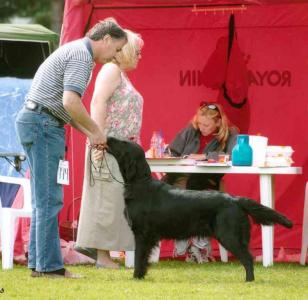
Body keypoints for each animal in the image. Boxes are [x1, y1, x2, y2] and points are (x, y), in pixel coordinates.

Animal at [107, 137, 292, 282]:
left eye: (123, 142)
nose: (108, 137)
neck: (140, 184)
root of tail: (235, 199)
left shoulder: (142, 234)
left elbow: (139, 258)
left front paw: (136, 277)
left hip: (229, 236)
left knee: (248, 259)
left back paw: (249, 282)